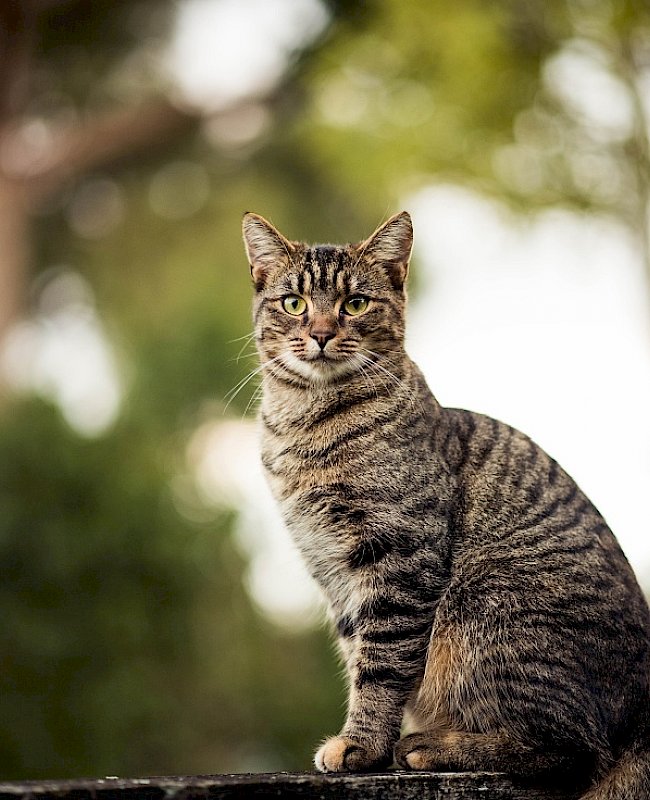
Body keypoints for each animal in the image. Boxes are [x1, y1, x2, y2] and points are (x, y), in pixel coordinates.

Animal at [240, 209, 648, 796]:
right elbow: (360, 653)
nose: (319, 334)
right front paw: (370, 742)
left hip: (486, 609)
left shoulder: (399, 553)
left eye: (354, 304)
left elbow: (382, 663)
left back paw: (432, 746)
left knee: (571, 752)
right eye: (294, 303)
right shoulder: (331, 570)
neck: (305, 425)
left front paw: (362, 745)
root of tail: (640, 714)